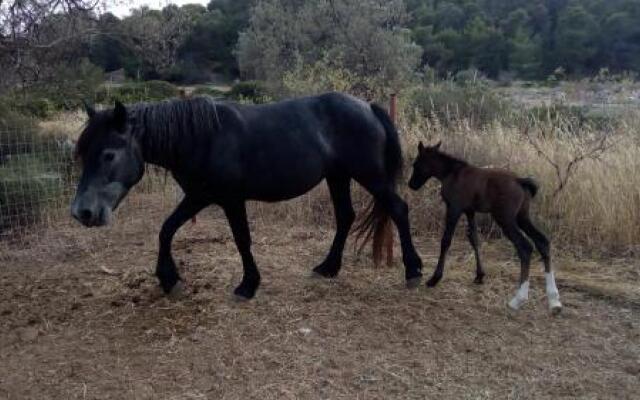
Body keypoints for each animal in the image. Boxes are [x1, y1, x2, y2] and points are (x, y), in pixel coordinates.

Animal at [70, 92, 422, 298]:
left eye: (108, 155)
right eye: (84, 154)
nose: (82, 212)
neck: (201, 137)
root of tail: (368, 107)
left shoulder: (229, 199)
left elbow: (242, 239)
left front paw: (248, 284)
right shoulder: (198, 196)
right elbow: (166, 229)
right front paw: (169, 279)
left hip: (370, 176)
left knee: (399, 209)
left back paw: (413, 270)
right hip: (338, 177)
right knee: (346, 216)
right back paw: (328, 267)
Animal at [408, 142, 564, 314]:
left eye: (416, 164)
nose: (411, 184)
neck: (452, 173)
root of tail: (520, 181)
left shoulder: (454, 208)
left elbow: (446, 241)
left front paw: (434, 278)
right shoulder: (470, 211)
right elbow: (475, 240)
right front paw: (479, 275)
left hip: (505, 220)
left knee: (525, 247)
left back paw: (518, 299)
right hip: (522, 218)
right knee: (542, 242)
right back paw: (554, 300)